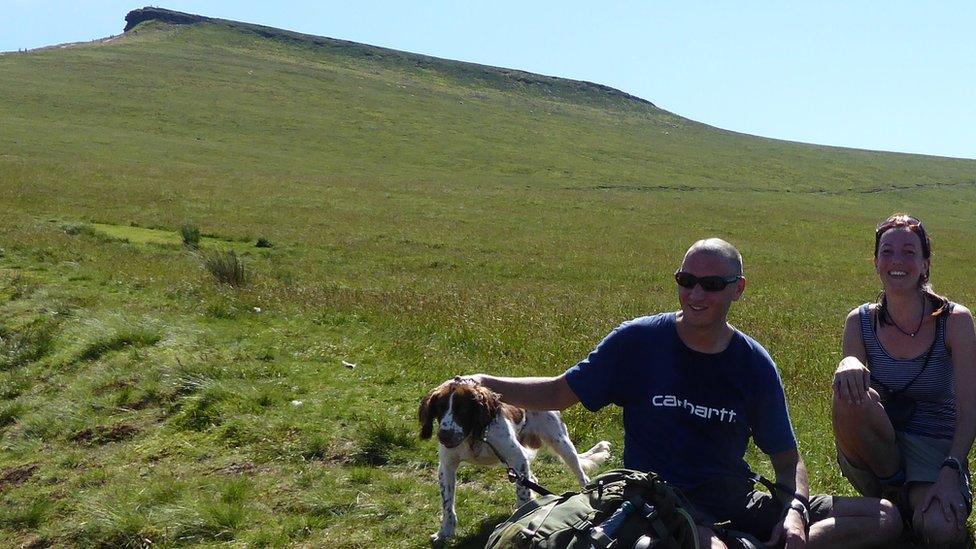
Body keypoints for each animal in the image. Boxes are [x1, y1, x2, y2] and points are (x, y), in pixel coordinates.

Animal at [420, 376, 608, 544]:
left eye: (463, 410)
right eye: (439, 409)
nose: (444, 436)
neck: (474, 435)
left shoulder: (517, 457)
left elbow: (523, 496)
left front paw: (522, 515)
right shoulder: (446, 466)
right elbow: (447, 504)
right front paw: (445, 532)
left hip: (561, 444)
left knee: (581, 475)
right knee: (532, 479)